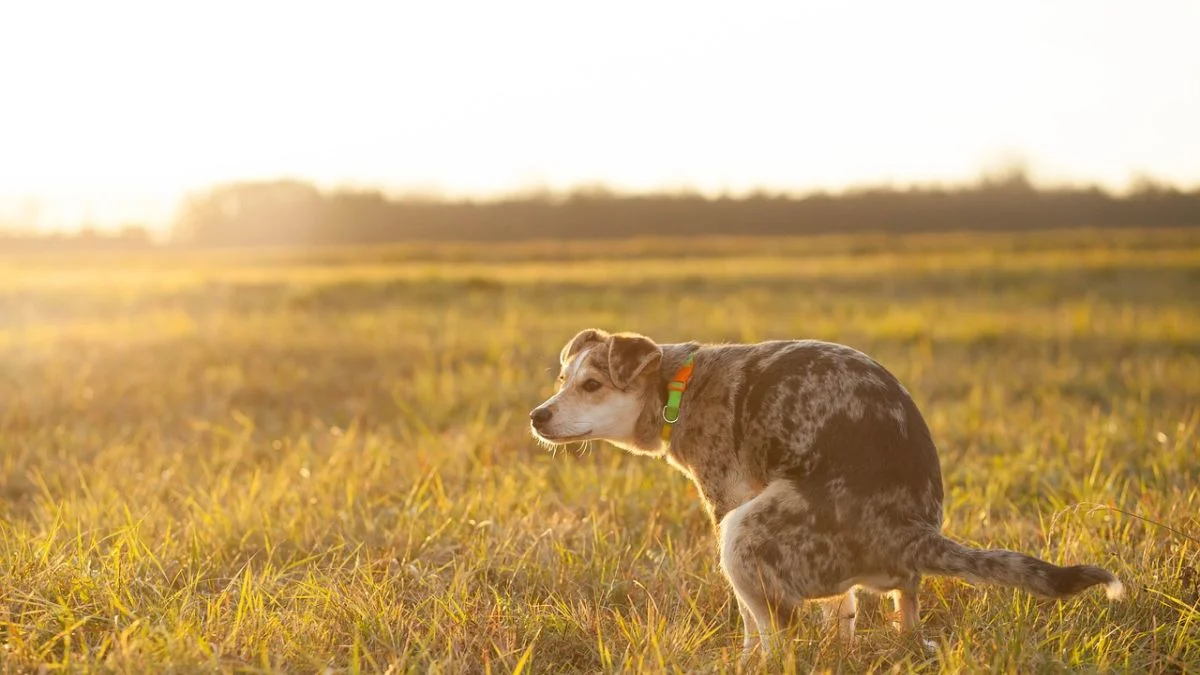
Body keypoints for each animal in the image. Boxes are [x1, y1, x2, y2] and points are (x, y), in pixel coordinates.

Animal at [528, 329, 1123, 653]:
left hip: (743, 533)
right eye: (561, 381)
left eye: (592, 385)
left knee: (779, 633)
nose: (537, 416)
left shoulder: (727, 502)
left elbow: (751, 622)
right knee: (899, 607)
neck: (678, 386)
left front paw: (744, 657)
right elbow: (842, 610)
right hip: (877, 576)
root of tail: (911, 532)